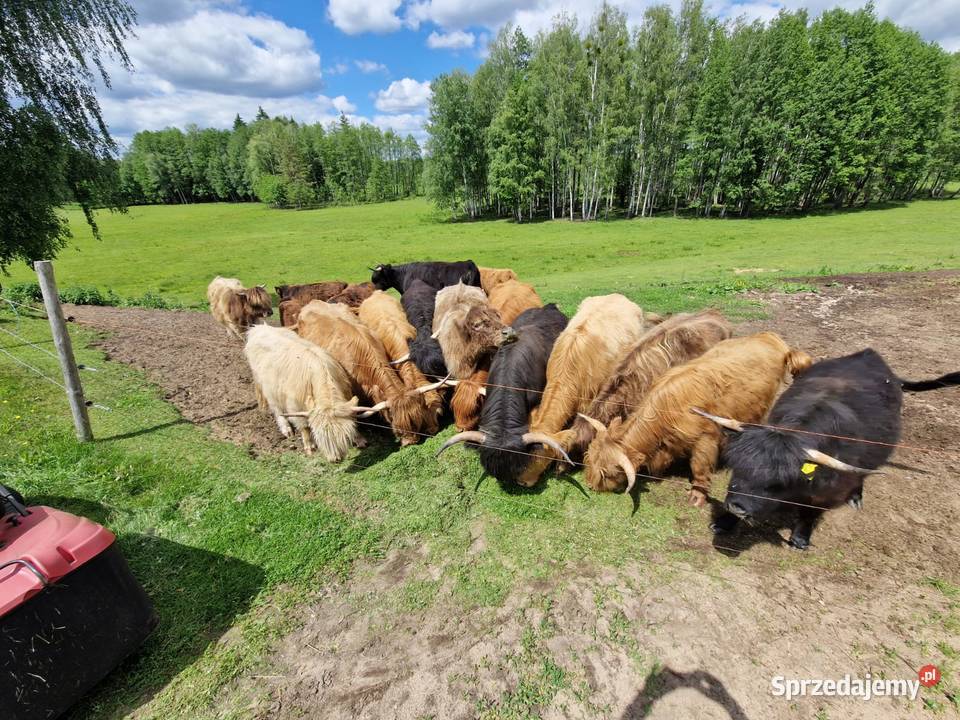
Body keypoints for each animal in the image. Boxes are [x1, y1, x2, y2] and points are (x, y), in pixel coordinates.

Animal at [243, 325, 362, 460]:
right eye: (319, 436)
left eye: (344, 436)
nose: (335, 460)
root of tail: (258, 328)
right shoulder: (294, 405)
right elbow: (304, 427)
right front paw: (309, 447)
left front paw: (359, 439)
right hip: (267, 386)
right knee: (276, 409)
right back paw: (286, 429)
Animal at [581, 333, 812, 506]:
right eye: (589, 460)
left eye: (607, 473)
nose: (590, 485)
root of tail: (769, 336)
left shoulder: (705, 439)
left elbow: (699, 467)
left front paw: (697, 496)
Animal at [700, 349, 960, 549]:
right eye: (739, 468)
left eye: (776, 482)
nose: (737, 506)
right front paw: (723, 523)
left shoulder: (828, 491)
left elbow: (811, 512)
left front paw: (800, 539)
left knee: (861, 476)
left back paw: (856, 498)